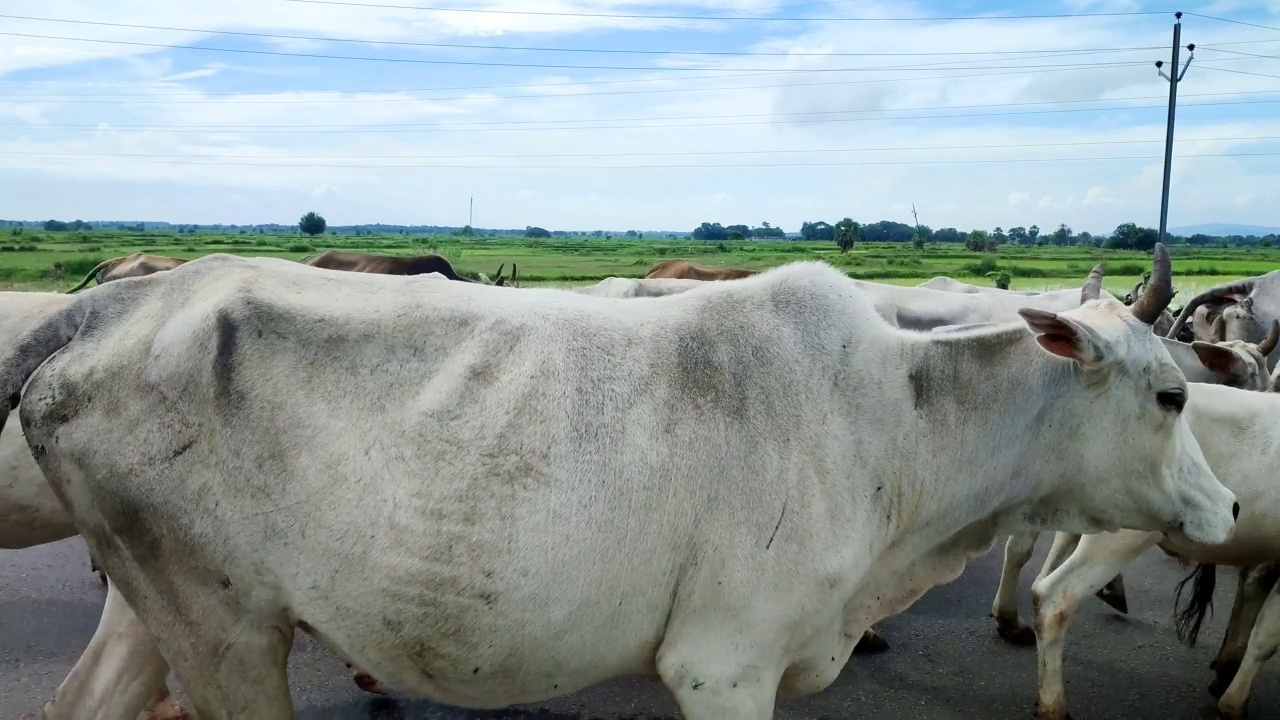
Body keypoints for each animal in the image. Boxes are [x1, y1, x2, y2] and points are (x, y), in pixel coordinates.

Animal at [0, 248, 1233, 717]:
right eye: (1173, 395)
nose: (1226, 507)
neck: (894, 421)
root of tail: (108, 306)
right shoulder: (722, 664)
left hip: (160, 609)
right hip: (228, 635)